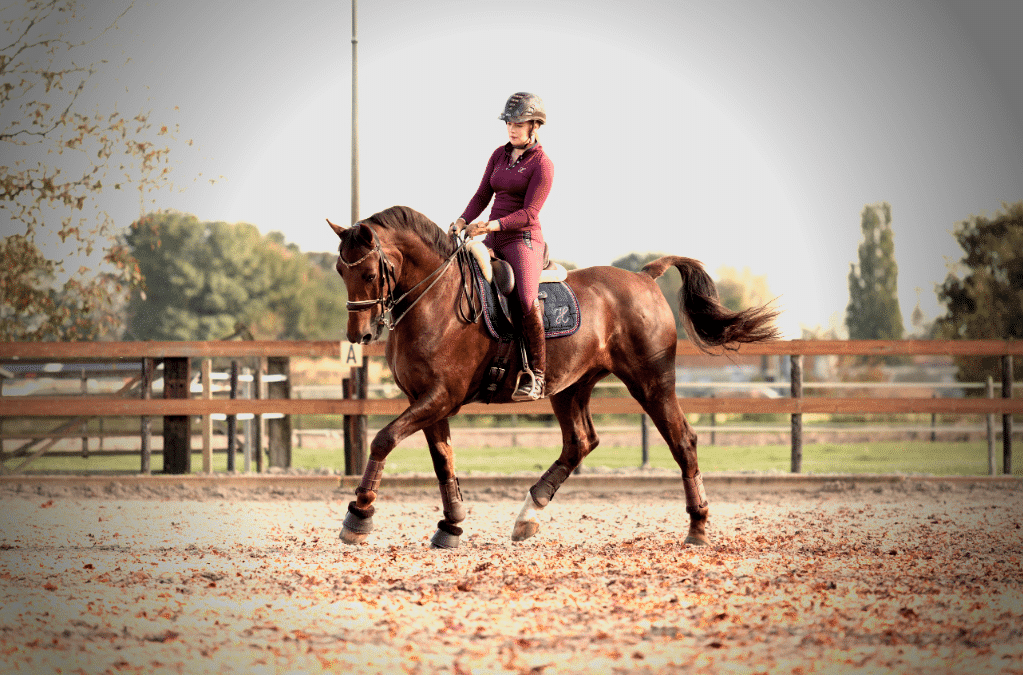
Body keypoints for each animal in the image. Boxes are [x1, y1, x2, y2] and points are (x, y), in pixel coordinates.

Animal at [328, 205, 779, 549]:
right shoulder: (426, 400)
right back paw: (529, 515)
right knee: (580, 442)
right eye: (338, 270)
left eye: (369, 274)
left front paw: (359, 515)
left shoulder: (441, 396)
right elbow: (443, 461)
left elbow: (384, 439)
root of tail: (643, 277)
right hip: (571, 386)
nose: (358, 336)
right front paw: (451, 525)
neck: (435, 298)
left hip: (651, 381)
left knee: (682, 440)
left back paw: (697, 527)